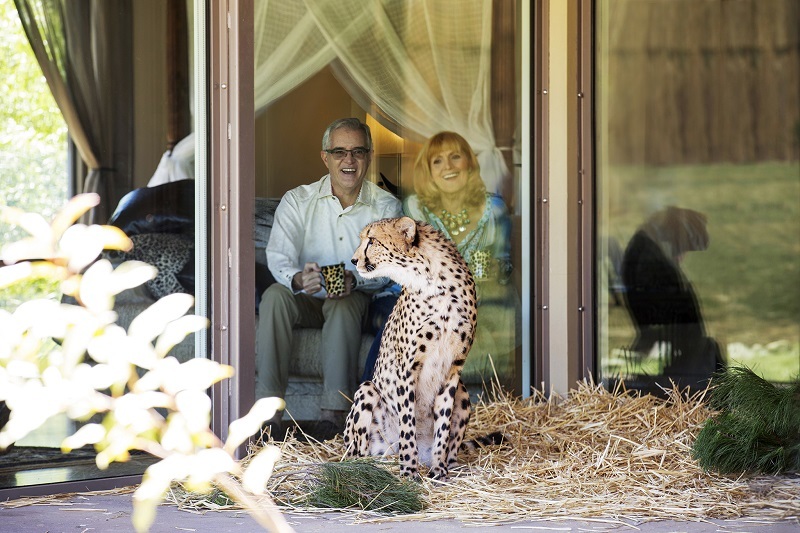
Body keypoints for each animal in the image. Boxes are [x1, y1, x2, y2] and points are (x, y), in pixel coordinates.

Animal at [344, 216, 500, 478]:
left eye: (372, 240)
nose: (354, 260)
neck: (433, 281)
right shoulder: (407, 368)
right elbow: (408, 423)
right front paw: (408, 471)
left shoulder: (453, 368)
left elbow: (443, 426)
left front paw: (439, 471)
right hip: (367, 390)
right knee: (355, 452)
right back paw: (369, 466)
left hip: (464, 394)